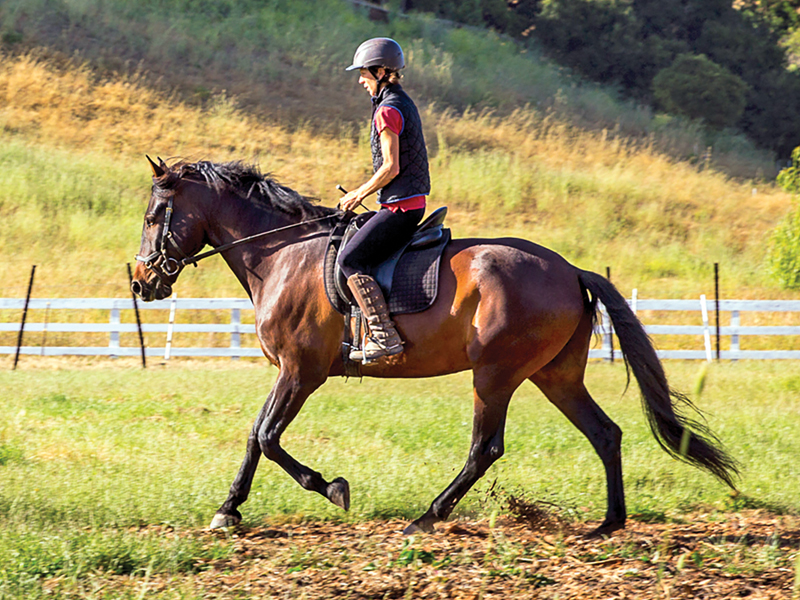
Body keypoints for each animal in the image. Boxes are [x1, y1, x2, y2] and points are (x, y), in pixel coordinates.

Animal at [131, 157, 738, 536]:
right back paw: (609, 524)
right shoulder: (290, 372)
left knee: (485, 448)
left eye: (154, 216)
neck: (283, 254)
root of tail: (571, 270)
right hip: (555, 376)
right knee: (604, 433)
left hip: (495, 374)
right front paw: (228, 510)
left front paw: (331, 488)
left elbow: (267, 435)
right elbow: (256, 435)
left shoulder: (302, 371)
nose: (141, 282)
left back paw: (427, 517)